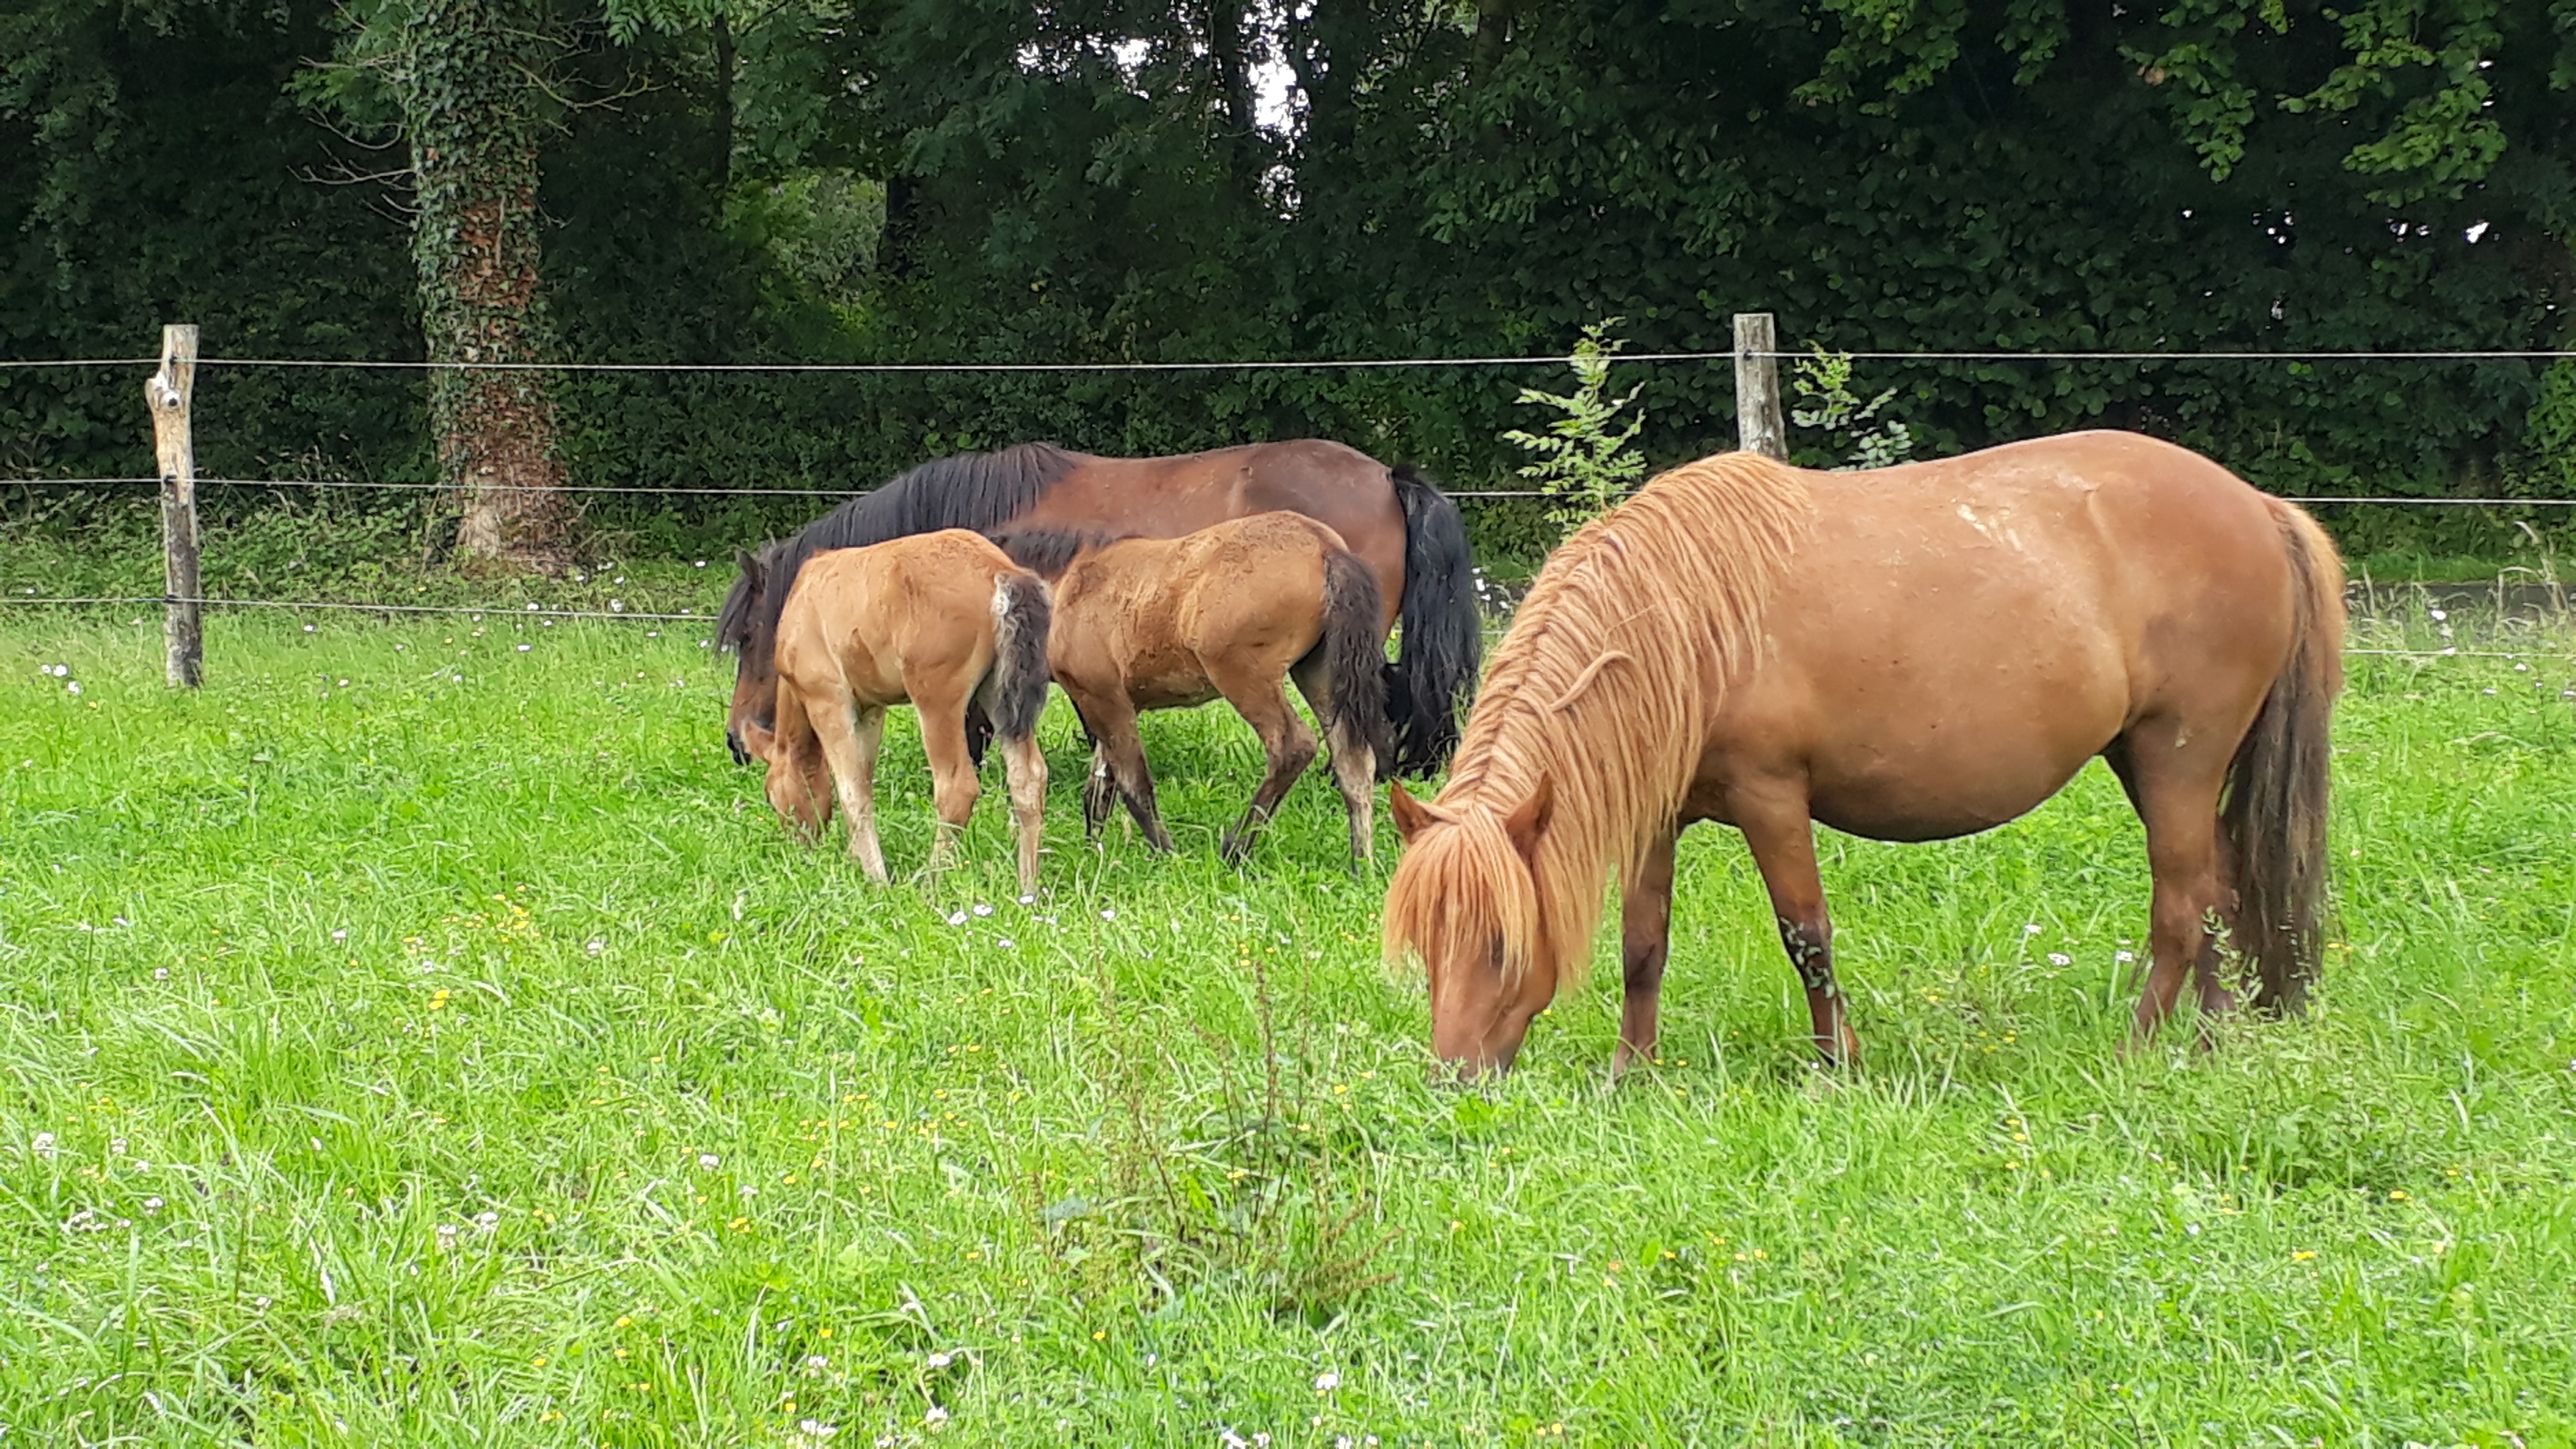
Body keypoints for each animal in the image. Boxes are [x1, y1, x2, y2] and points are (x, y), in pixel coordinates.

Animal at [747, 531, 1056, 892]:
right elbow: (864, 781)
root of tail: (999, 569)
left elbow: (851, 792)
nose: (801, 847)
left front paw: (876, 878)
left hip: (937, 700)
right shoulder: (870, 709)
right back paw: (1028, 886)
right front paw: (857, 860)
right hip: (999, 696)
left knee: (957, 789)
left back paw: (930, 884)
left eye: (771, 796)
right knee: (1028, 779)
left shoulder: (828, 701)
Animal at [994, 510, 1391, 861]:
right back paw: (1362, 864)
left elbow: (1133, 785)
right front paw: (1095, 855)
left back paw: (1235, 849)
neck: (1070, 586)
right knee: (1354, 764)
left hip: (1244, 676)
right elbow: (1099, 791)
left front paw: (1166, 856)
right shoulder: (1112, 702)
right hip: (1319, 674)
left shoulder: (1102, 697)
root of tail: (1325, 548)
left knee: (1293, 747)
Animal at [1391, 433, 2359, 1078]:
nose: (1455, 1078)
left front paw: (1838, 1067)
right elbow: (1643, 944)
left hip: (2179, 758)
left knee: (2182, 908)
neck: (1687, 616)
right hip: (2150, 762)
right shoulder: (1658, 813)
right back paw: (2213, 1044)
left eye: (1501, 945)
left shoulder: (1771, 798)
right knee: (2222, 894)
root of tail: (2259, 507)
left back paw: (2137, 1052)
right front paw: (1632, 1074)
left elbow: (1807, 936)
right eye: (1427, 943)